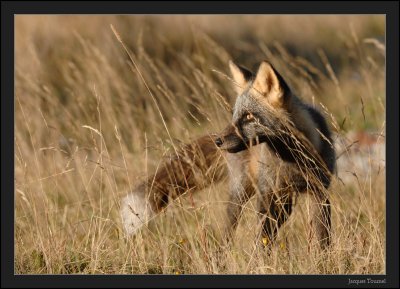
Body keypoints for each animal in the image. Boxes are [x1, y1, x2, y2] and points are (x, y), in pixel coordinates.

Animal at [120, 59, 336, 249]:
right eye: (234, 115)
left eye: (248, 116)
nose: (218, 141)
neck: (292, 162)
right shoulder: (267, 194)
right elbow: (262, 241)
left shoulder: (319, 192)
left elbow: (322, 239)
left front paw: (321, 261)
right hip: (242, 195)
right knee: (227, 235)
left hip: (284, 203)